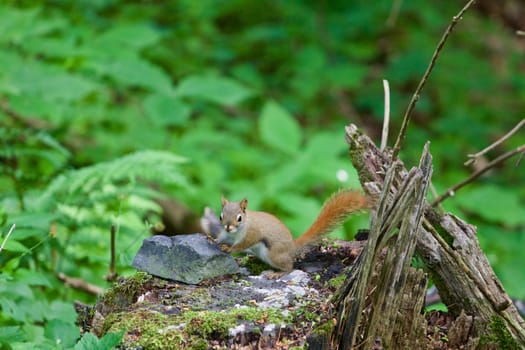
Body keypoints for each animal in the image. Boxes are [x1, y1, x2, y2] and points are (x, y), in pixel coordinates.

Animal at [215, 190, 370, 272]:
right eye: (221, 216)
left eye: (239, 218)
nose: (228, 226)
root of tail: (293, 247)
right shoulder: (226, 233)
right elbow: (221, 236)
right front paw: (215, 240)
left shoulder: (252, 233)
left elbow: (243, 244)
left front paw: (230, 248)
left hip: (274, 254)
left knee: (290, 267)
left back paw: (277, 273)